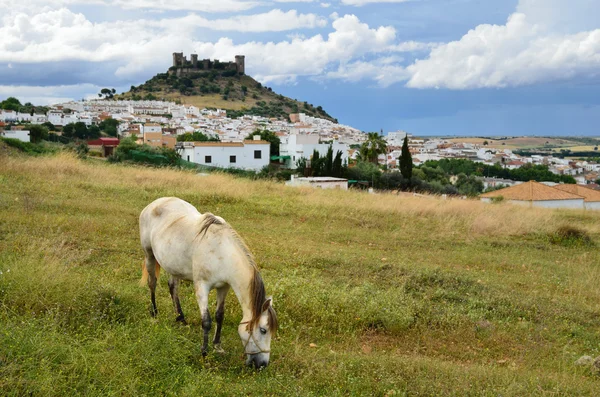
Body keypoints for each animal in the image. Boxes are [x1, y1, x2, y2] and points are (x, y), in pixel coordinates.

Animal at [138, 196, 276, 366]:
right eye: (263, 330)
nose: (262, 364)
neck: (221, 252)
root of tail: (155, 203)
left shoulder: (224, 287)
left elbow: (219, 315)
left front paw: (217, 346)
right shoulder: (201, 286)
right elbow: (207, 321)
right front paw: (204, 353)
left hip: (174, 265)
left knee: (173, 287)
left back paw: (181, 318)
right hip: (149, 255)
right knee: (153, 283)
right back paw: (154, 314)